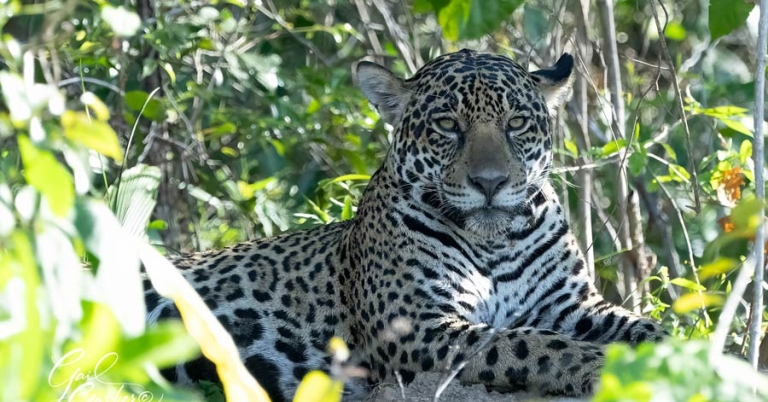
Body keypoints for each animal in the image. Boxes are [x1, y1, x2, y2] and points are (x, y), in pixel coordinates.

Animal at [144, 49, 667, 402]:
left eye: (516, 123)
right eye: (448, 125)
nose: (491, 182)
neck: (494, 244)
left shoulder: (572, 305)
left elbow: (645, 326)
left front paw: (675, 351)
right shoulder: (415, 326)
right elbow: (528, 344)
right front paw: (602, 367)